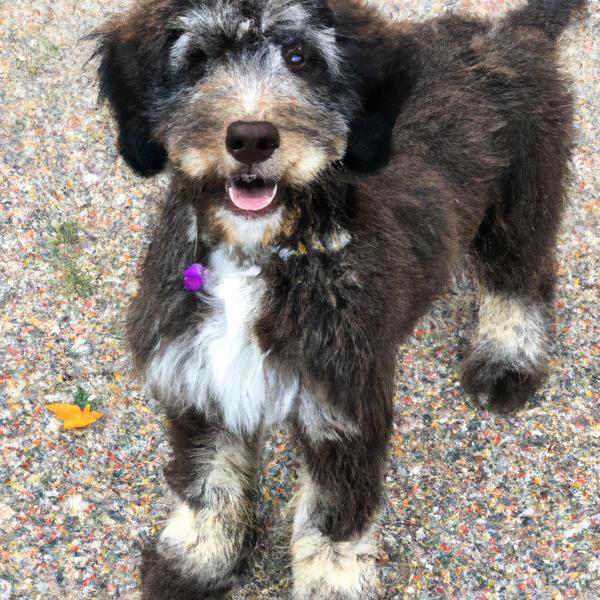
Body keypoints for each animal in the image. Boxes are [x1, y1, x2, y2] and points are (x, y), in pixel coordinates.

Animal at [91, 0, 584, 596]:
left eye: (300, 57)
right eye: (200, 59)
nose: (251, 137)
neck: (264, 253)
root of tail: (511, 29)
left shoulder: (342, 406)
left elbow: (332, 522)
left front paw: (331, 582)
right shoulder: (198, 380)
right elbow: (209, 481)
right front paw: (195, 561)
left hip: (521, 199)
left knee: (523, 277)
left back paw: (507, 358)